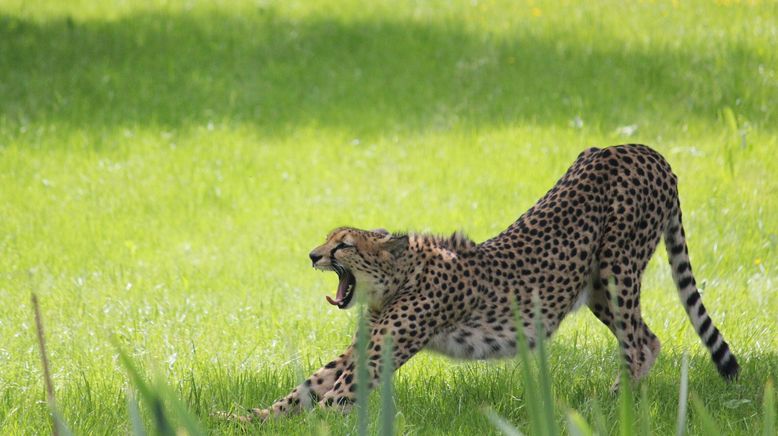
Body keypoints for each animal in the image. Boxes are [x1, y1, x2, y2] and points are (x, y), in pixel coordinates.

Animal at [239, 145, 736, 420]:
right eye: (327, 239)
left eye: (342, 246)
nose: (313, 255)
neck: (402, 276)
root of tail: (644, 149)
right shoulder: (364, 345)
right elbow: (307, 387)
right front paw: (251, 416)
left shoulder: (380, 355)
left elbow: (332, 399)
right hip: (597, 286)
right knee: (647, 338)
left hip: (618, 270)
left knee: (638, 342)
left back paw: (619, 406)